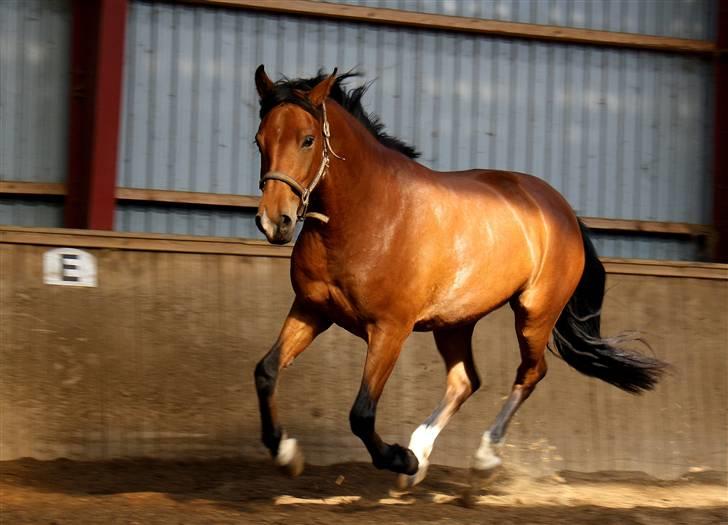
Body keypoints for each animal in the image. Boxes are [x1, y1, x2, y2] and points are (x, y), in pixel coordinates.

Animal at [252, 65, 664, 488]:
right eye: (259, 140)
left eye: (308, 140)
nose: (275, 221)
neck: (366, 213)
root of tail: (562, 208)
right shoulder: (312, 310)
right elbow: (266, 371)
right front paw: (287, 454)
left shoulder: (389, 330)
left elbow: (362, 414)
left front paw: (401, 460)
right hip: (455, 321)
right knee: (465, 381)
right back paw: (422, 455)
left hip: (534, 314)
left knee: (530, 372)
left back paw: (480, 459)